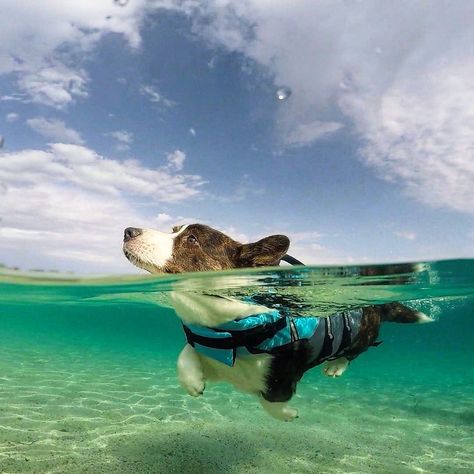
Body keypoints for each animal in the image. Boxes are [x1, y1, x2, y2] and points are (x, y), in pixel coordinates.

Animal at [123, 224, 434, 420]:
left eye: (192, 239)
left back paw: (335, 366)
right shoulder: (210, 350)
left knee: (356, 351)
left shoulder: (281, 380)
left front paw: (288, 415)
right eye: (174, 229)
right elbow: (185, 355)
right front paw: (193, 384)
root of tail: (376, 307)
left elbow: (270, 399)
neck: (232, 332)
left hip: (361, 336)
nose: (127, 231)